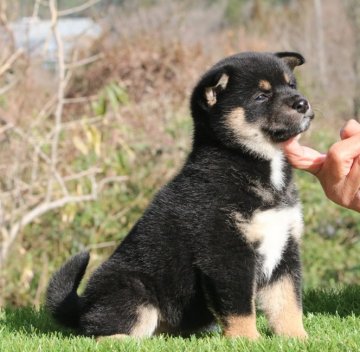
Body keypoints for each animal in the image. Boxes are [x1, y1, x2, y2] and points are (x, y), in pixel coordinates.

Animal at [47, 51, 312, 340]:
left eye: (291, 85)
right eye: (261, 96)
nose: (302, 102)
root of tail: (83, 305)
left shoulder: (285, 247)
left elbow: (288, 304)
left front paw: (298, 338)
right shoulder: (226, 253)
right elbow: (241, 308)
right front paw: (248, 340)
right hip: (134, 290)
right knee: (98, 330)